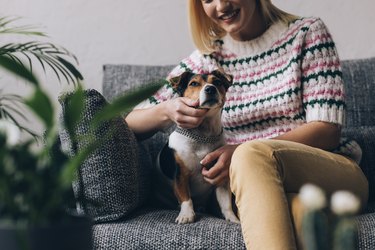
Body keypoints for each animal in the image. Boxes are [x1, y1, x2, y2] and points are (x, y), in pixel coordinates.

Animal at [156, 69, 239, 225]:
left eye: (217, 82)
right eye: (194, 84)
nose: (210, 89)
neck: (203, 137)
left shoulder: (220, 179)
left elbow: (226, 203)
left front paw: (232, 218)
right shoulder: (180, 175)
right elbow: (186, 197)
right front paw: (187, 215)